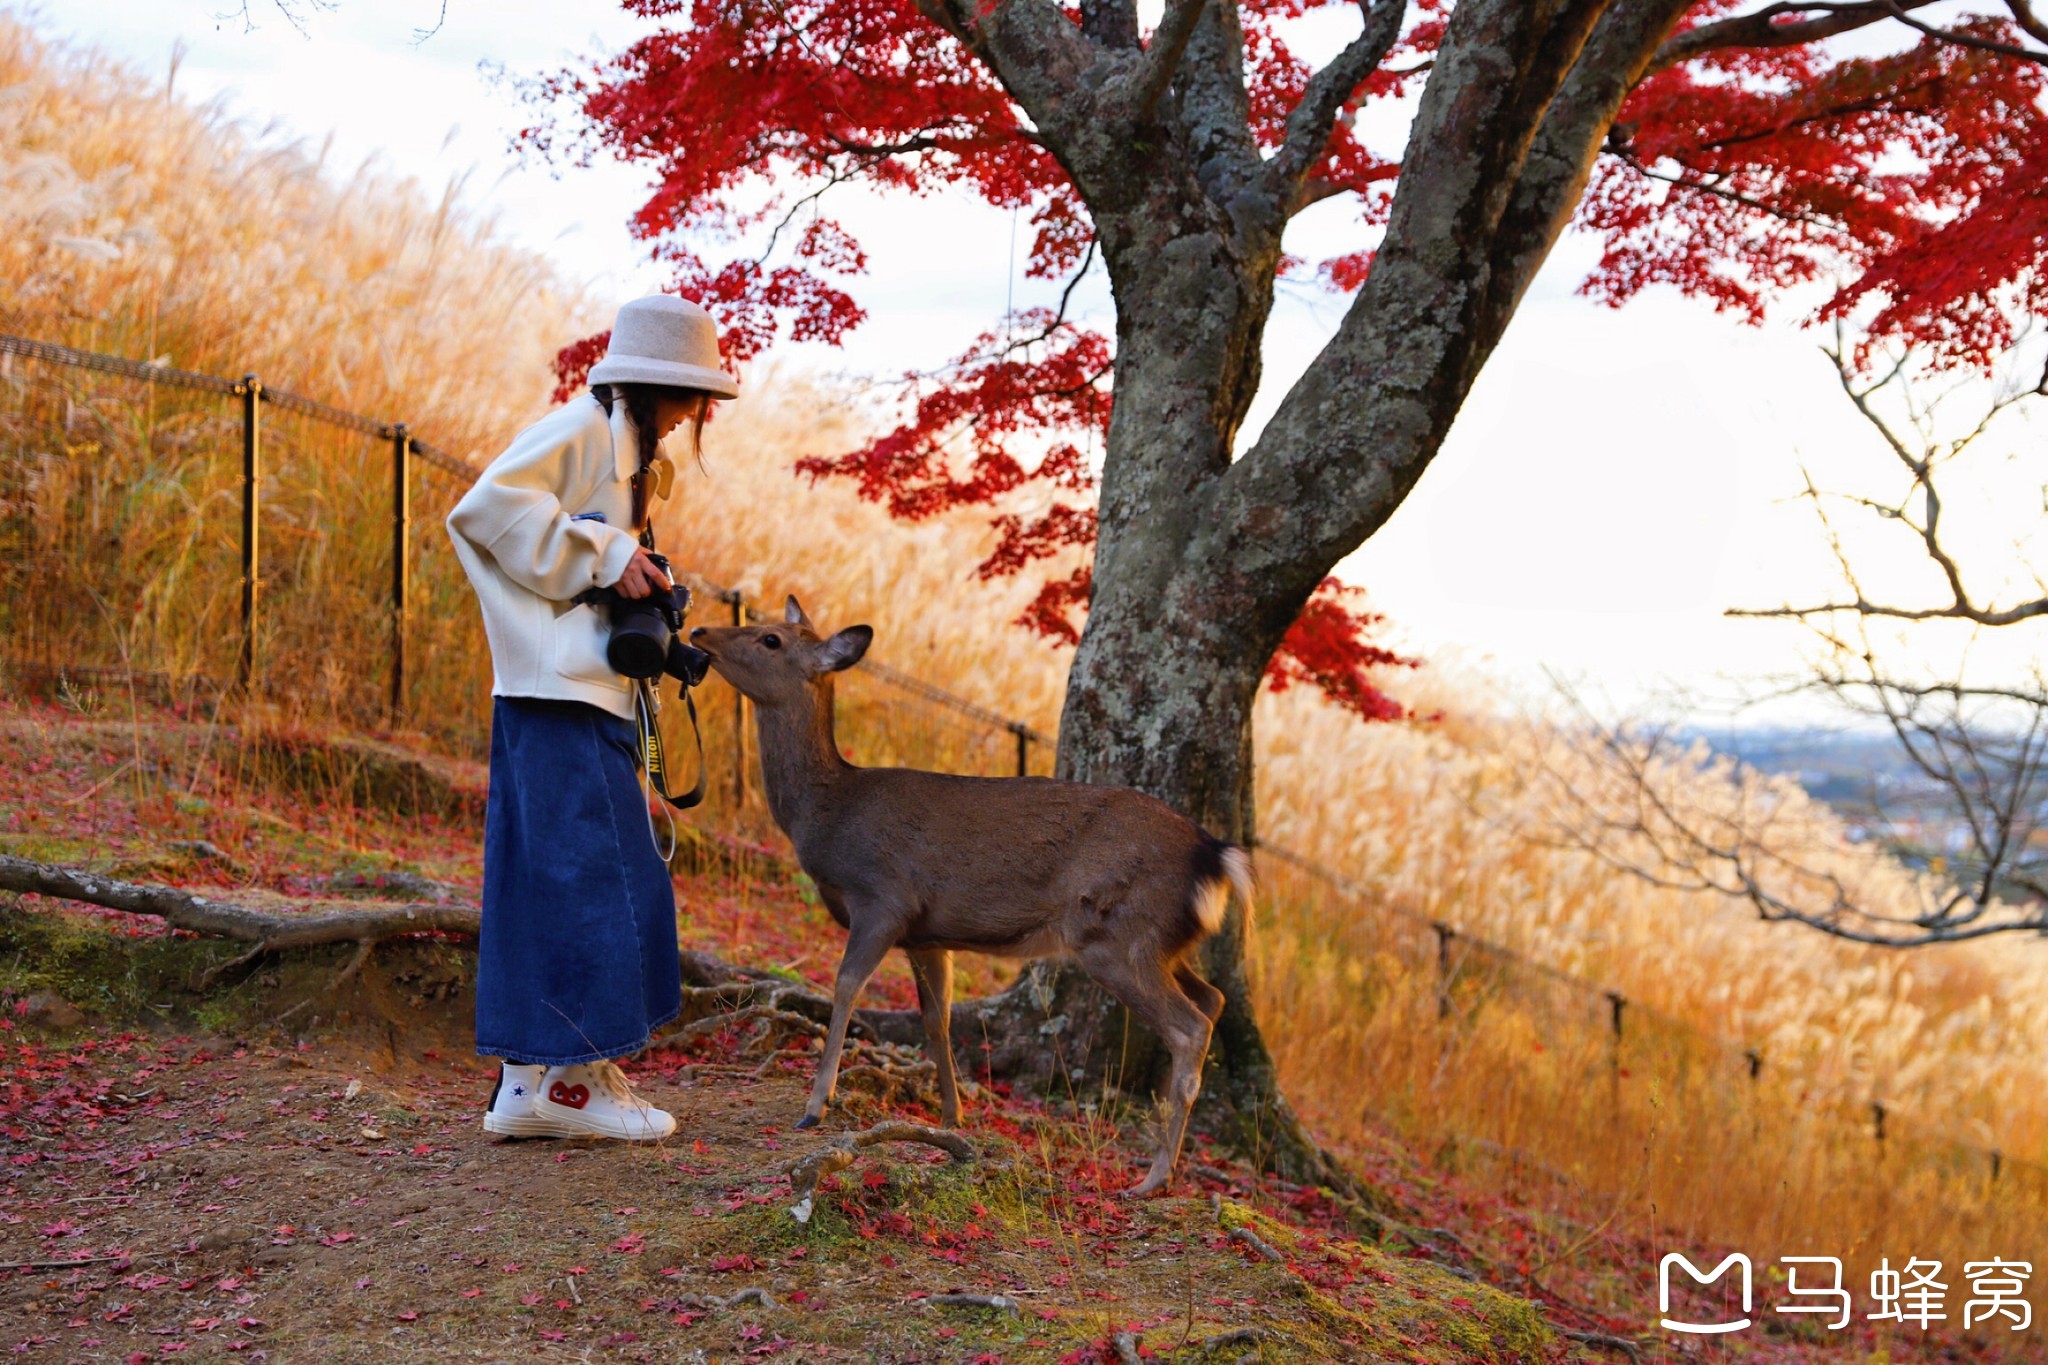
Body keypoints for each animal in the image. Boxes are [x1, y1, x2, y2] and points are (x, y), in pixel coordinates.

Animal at [692, 597, 1245, 1195]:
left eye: (770, 639)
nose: (699, 632)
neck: (827, 814)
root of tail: (1216, 855)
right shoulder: (928, 934)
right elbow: (937, 1018)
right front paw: (952, 1117)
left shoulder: (883, 898)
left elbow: (844, 987)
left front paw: (816, 1104)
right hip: (1160, 939)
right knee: (1214, 998)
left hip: (1115, 933)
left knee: (1190, 1026)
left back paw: (1153, 1178)